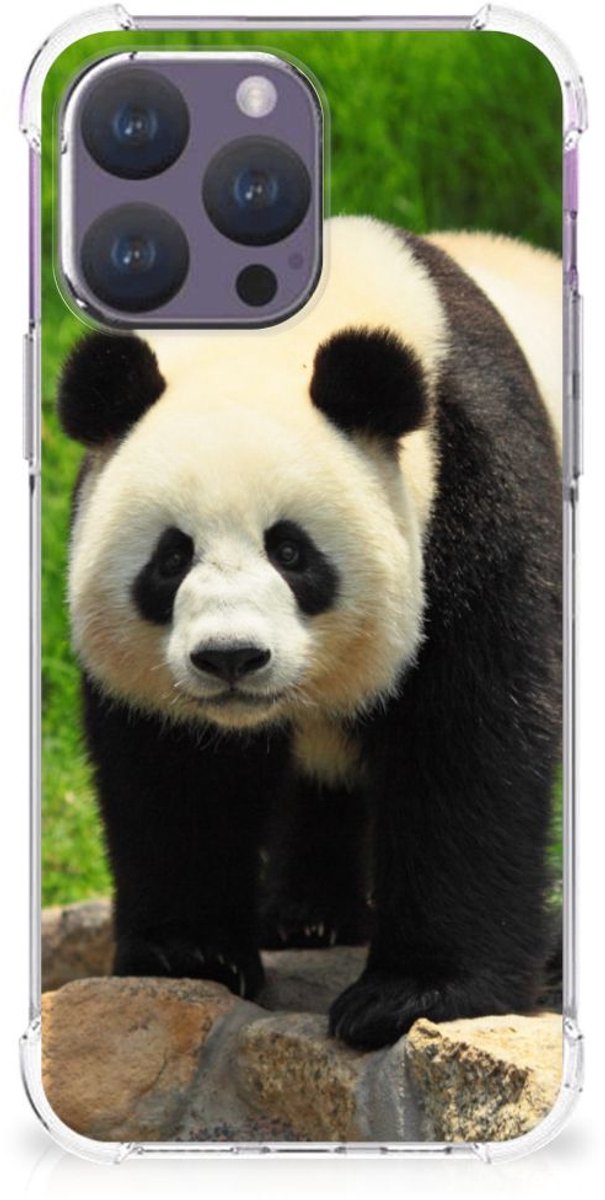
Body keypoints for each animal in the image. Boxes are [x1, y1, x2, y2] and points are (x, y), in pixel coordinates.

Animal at [57, 216, 562, 1050]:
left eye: (290, 552)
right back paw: (307, 916)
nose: (230, 658)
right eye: (170, 557)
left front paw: (412, 994)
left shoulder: (475, 489)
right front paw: (189, 953)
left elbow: (470, 739)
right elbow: (174, 768)